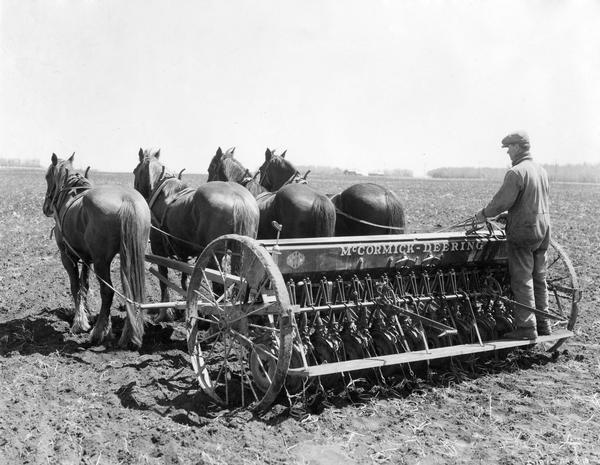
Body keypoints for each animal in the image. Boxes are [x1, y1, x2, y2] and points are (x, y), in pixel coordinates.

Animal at [42, 152, 150, 348]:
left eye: (47, 176)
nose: (46, 207)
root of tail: (128, 199)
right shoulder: (86, 258)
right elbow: (84, 285)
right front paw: (91, 317)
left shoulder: (67, 256)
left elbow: (75, 286)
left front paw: (79, 322)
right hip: (131, 255)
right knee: (131, 292)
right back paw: (128, 334)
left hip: (102, 261)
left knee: (107, 292)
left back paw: (98, 333)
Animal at [135, 147, 258, 318]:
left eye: (135, 171)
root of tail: (238, 199)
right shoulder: (184, 251)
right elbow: (185, 278)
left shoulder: (159, 250)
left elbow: (163, 280)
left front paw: (164, 313)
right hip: (244, 251)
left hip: (215, 256)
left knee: (219, 286)